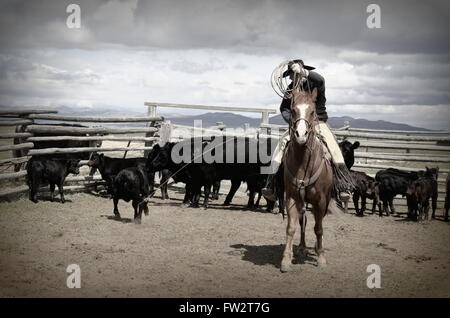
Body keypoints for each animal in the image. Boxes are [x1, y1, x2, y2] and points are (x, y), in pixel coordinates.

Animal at [282, 88, 334, 272]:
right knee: (302, 221)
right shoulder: (291, 197)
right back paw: (302, 247)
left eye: (312, 112)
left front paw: (321, 257)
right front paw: (286, 259)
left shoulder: (321, 200)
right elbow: (291, 228)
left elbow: (318, 228)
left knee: (318, 223)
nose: (301, 135)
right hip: (302, 202)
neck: (304, 163)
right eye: (293, 110)